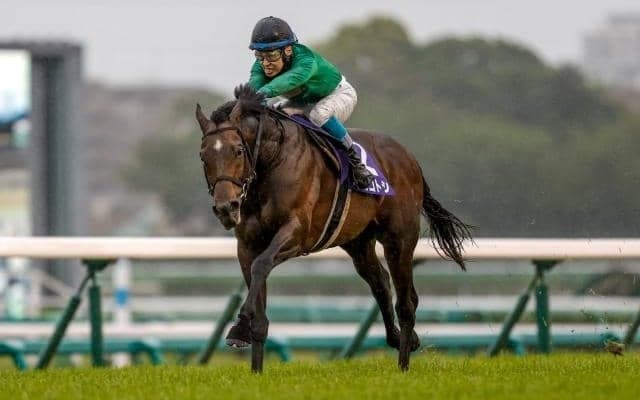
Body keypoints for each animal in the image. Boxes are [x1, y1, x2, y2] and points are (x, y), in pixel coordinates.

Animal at [196, 84, 472, 372]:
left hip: (400, 239)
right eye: (203, 156)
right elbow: (258, 302)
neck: (271, 160)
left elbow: (262, 264)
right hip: (359, 243)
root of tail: (409, 158)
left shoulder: (297, 233)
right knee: (381, 284)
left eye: (238, 150)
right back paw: (400, 339)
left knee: (407, 302)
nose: (226, 207)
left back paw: (403, 365)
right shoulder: (247, 245)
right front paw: (255, 367)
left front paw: (237, 329)